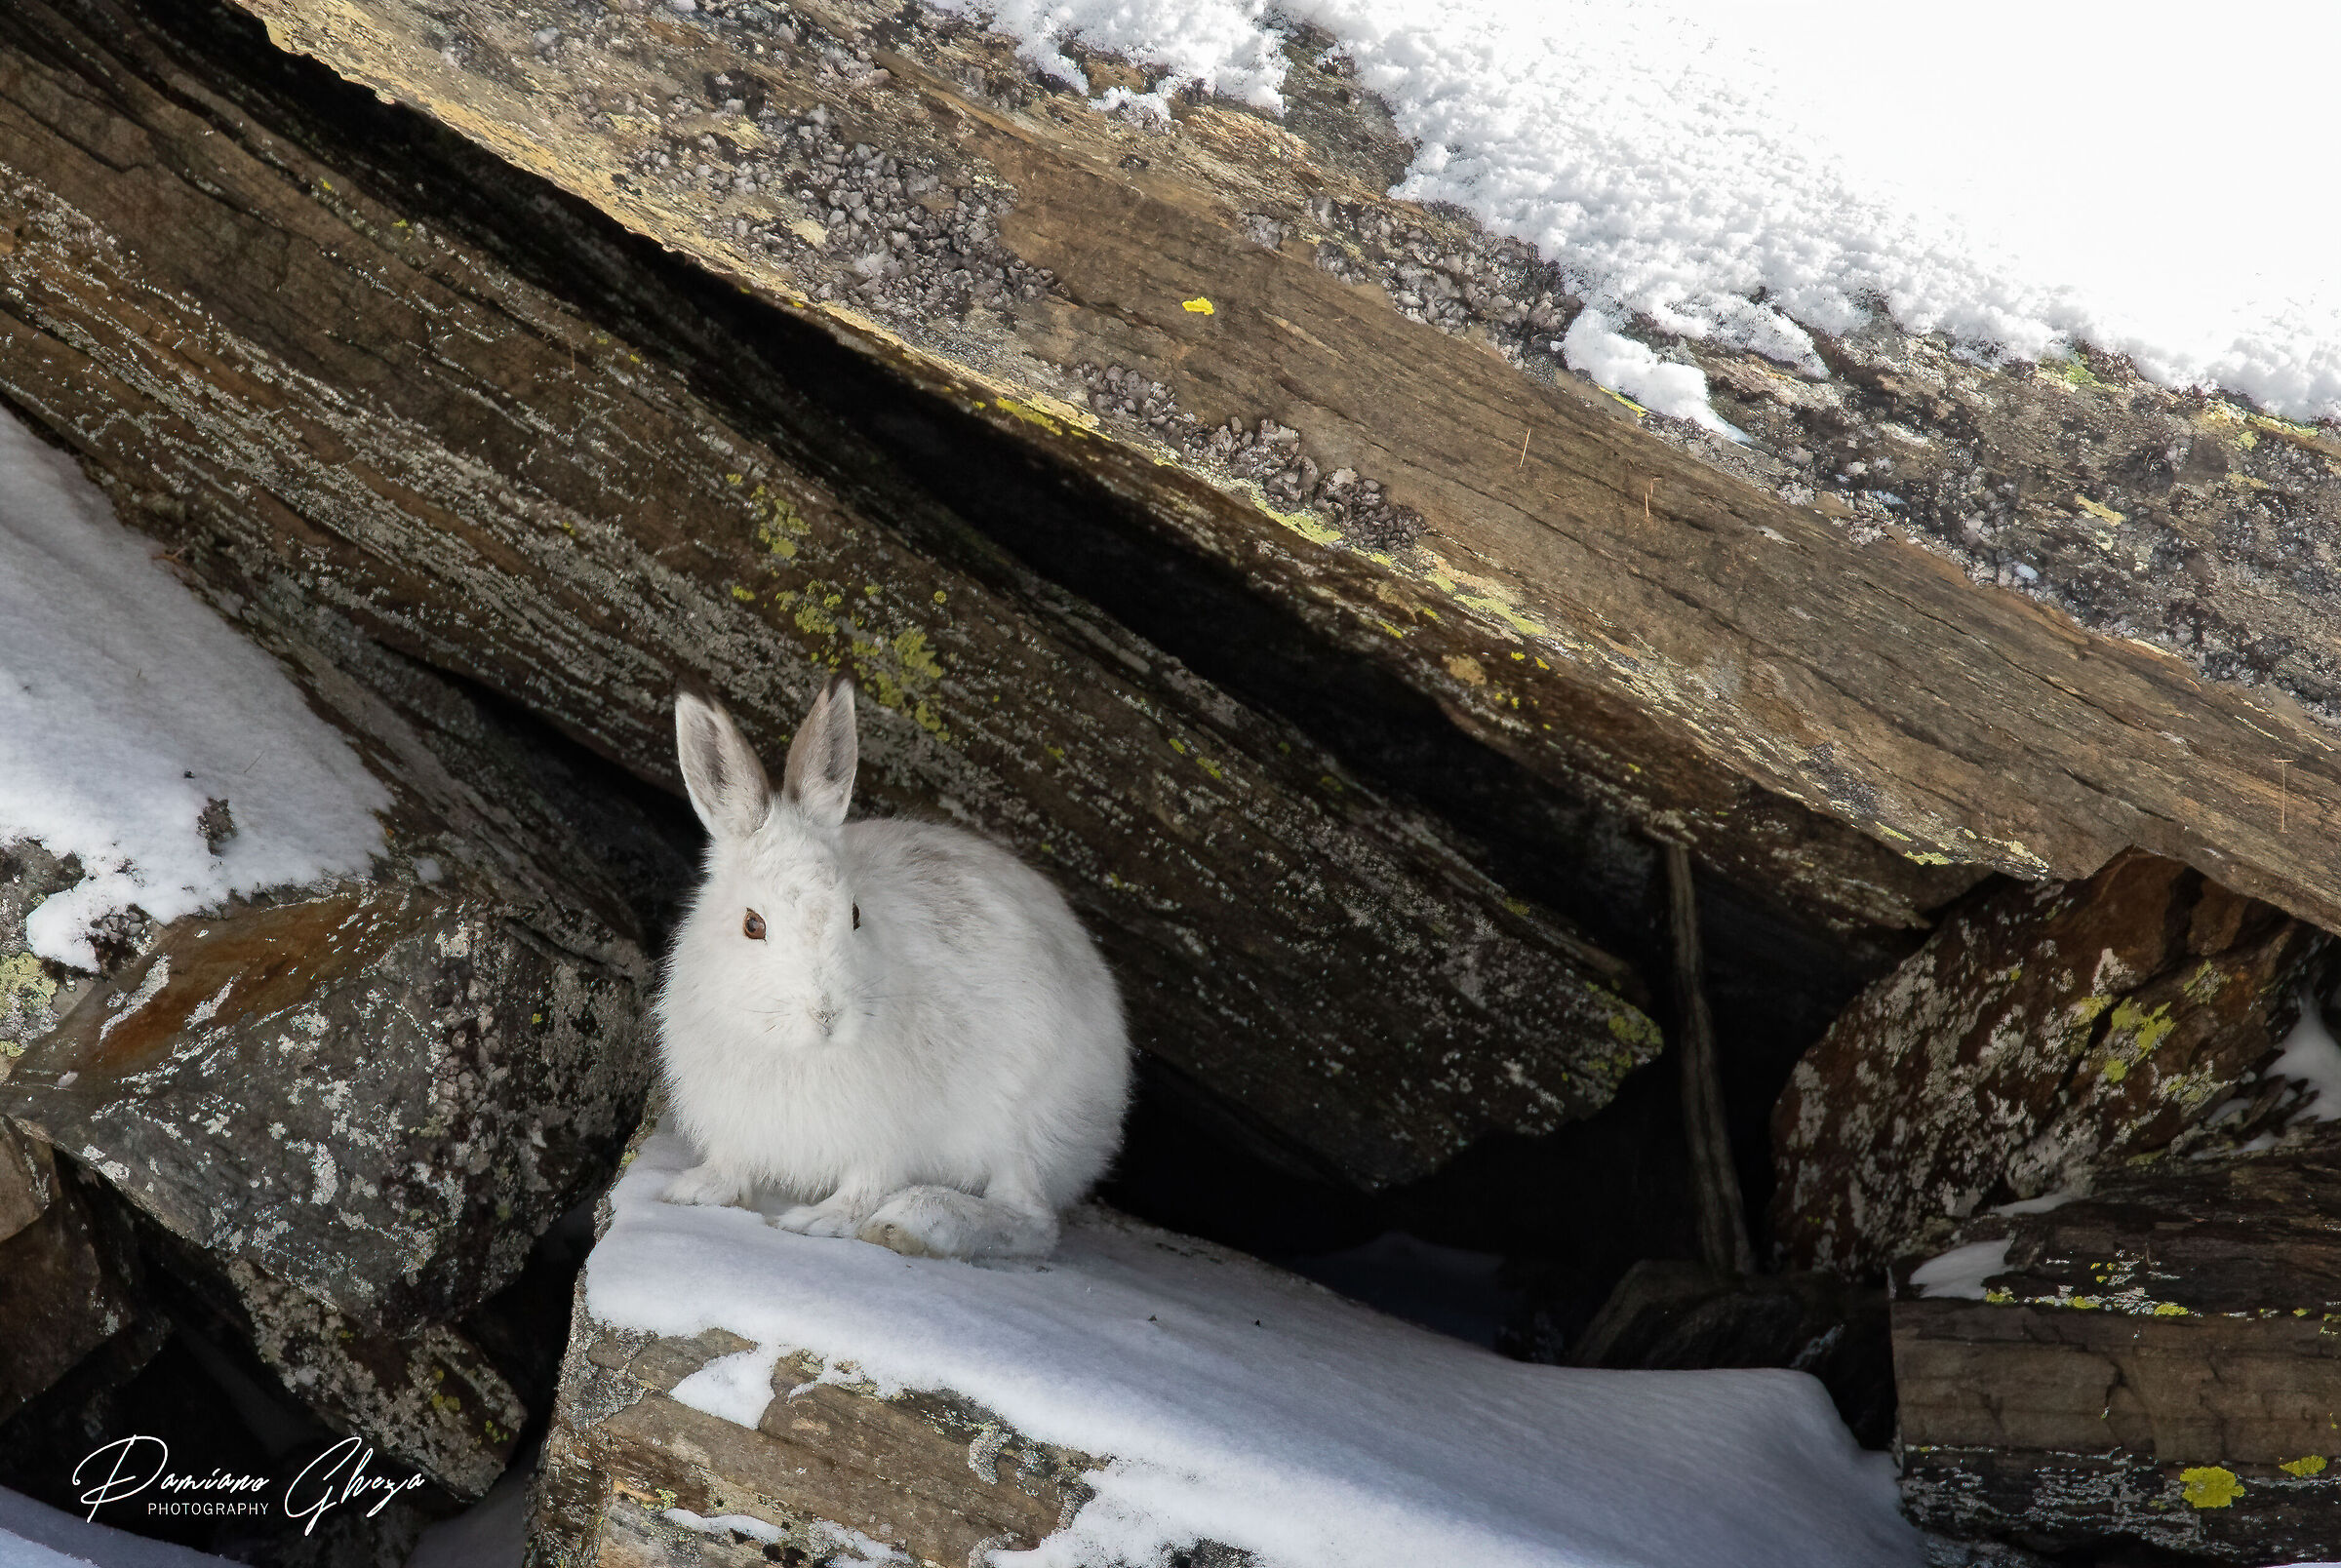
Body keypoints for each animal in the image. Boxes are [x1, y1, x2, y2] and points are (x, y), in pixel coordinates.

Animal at [654, 672, 1132, 1261]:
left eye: (856, 914)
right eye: (752, 925)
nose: (827, 1016)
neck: (798, 1050)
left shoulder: (889, 1137)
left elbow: (867, 1182)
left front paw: (819, 1221)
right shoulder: (736, 1123)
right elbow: (732, 1163)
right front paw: (694, 1191)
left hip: (1025, 1123)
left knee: (1032, 1220)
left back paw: (910, 1223)